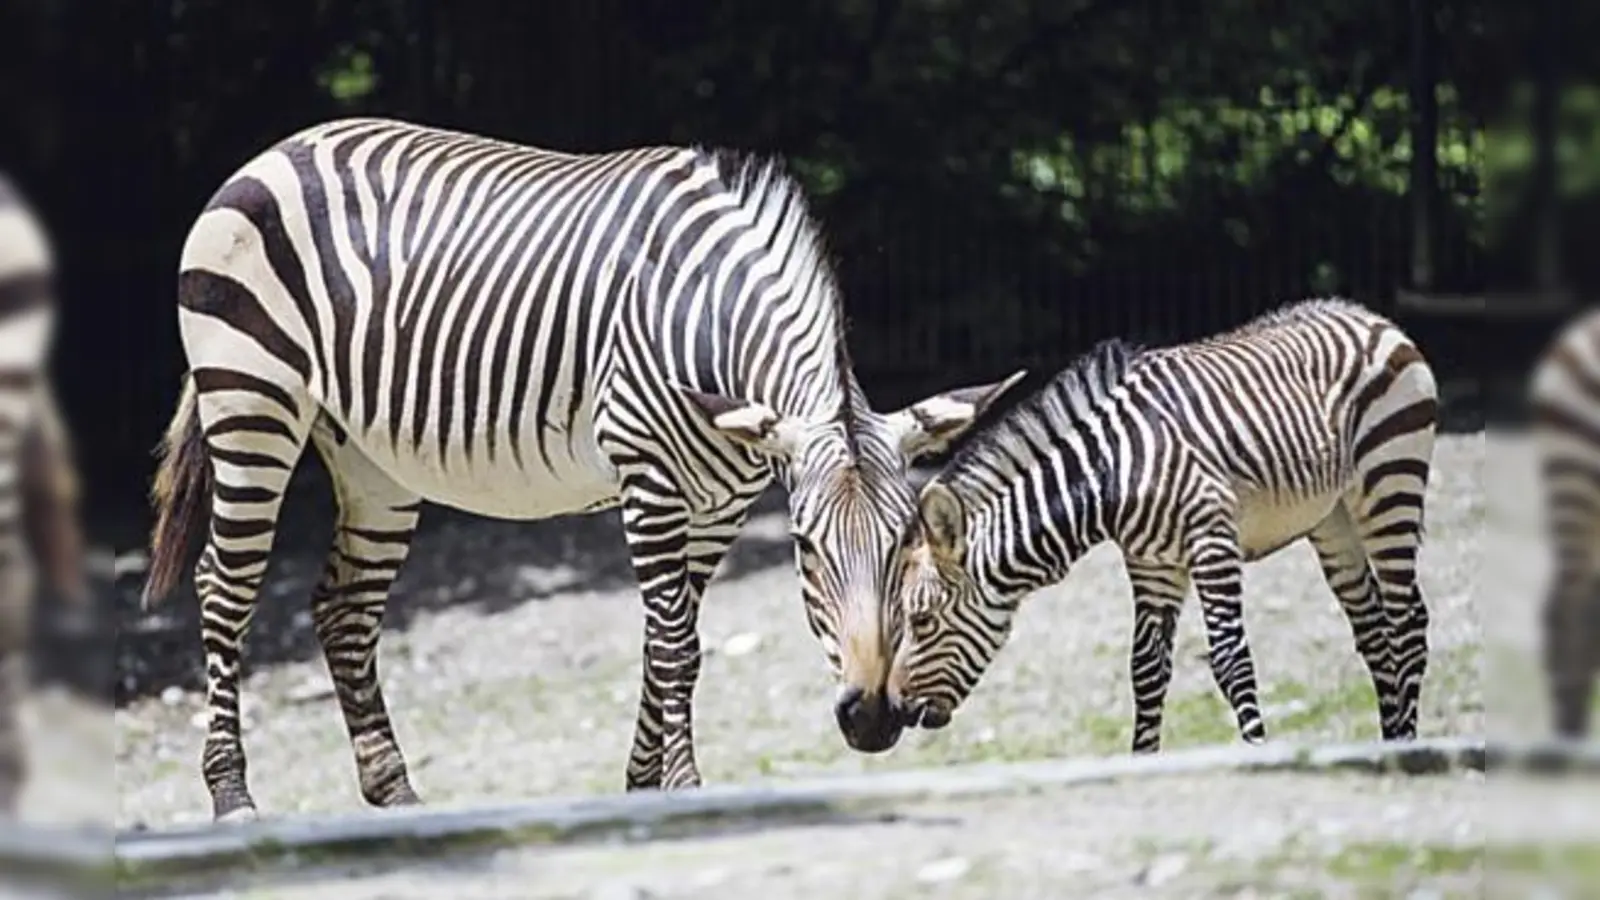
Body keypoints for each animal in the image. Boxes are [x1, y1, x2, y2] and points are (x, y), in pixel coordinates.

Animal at [138, 117, 1024, 822]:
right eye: (804, 548)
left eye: (906, 543)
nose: (872, 720)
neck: (709, 319)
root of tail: (280, 147)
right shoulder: (649, 481)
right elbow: (676, 647)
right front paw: (683, 791)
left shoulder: (720, 508)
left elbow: (668, 646)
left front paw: (643, 786)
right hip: (251, 399)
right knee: (226, 587)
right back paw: (232, 797)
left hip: (370, 457)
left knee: (342, 606)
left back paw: (396, 796)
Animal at [888, 298, 1437, 753]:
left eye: (922, 620)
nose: (894, 709)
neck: (1109, 474)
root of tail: (1371, 317)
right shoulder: (1150, 563)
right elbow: (1146, 669)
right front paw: (1141, 757)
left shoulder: (1212, 541)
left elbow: (1230, 658)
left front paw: (1256, 752)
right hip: (1333, 519)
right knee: (1373, 630)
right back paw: (1389, 741)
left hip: (1390, 482)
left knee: (1408, 620)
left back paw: (1407, 742)